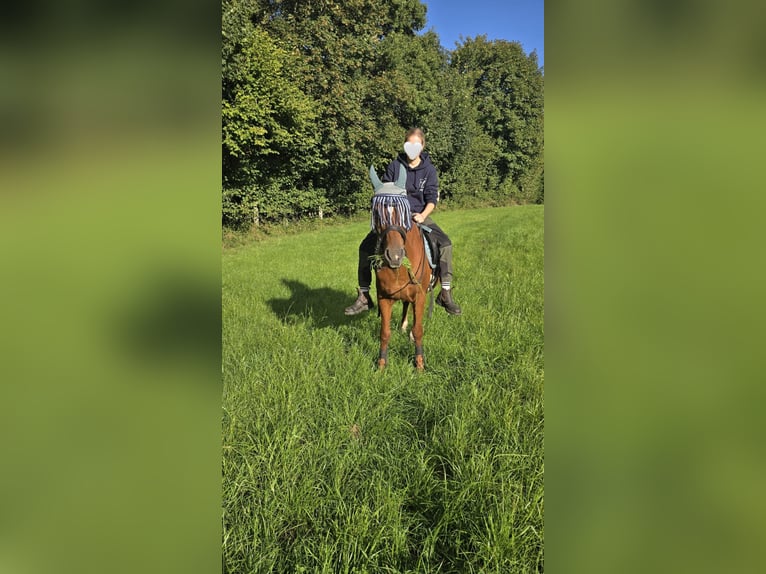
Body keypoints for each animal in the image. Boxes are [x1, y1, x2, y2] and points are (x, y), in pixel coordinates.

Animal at [368, 166, 435, 371]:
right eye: (376, 213)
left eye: (404, 213)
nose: (395, 256)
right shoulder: (384, 298)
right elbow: (384, 333)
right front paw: (381, 365)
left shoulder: (420, 296)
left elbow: (419, 330)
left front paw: (419, 364)